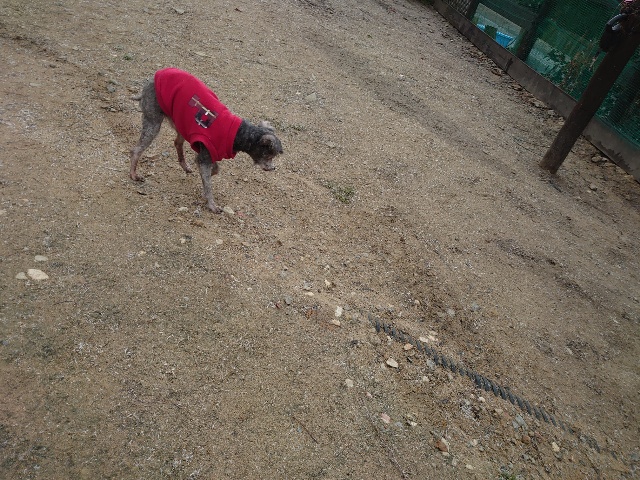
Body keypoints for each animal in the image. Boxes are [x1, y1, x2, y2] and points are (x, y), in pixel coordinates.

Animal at [130, 68, 283, 213]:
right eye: (269, 155)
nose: (273, 168)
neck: (238, 134)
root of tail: (152, 78)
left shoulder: (210, 153)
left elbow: (213, 171)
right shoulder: (205, 155)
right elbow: (208, 183)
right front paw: (212, 205)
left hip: (180, 122)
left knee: (177, 143)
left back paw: (185, 166)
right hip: (153, 123)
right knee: (136, 150)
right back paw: (134, 175)